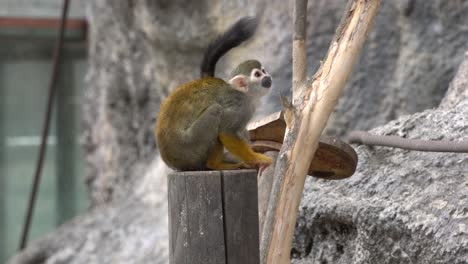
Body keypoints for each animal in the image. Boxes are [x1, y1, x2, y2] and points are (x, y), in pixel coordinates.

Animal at [156, 16, 274, 171]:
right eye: (257, 75)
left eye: (264, 71)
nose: (268, 77)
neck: (246, 95)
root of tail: (172, 162)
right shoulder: (239, 106)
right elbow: (226, 132)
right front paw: (256, 159)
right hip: (189, 148)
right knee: (216, 110)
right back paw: (215, 164)